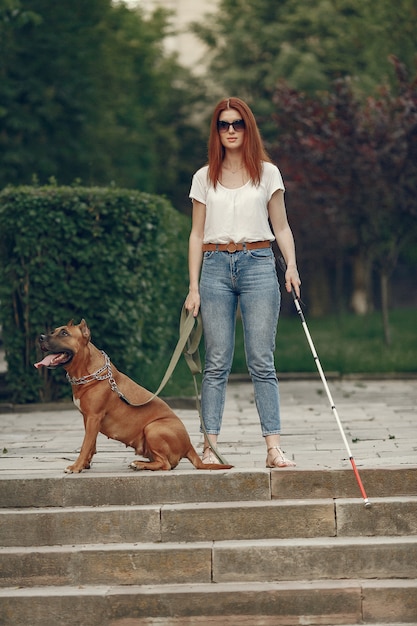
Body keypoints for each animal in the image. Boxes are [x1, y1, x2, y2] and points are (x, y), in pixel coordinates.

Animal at [34, 320, 232, 470]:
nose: (41, 337)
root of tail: (189, 445)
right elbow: (91, 445)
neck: (88, 372)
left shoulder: (93, 418)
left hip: (153, 428)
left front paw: (76, 467)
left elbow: (85, 445)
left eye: (64, 333)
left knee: (165, 464)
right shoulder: (88, 419)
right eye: (53, 331)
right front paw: (85, 464)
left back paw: (139, 464)